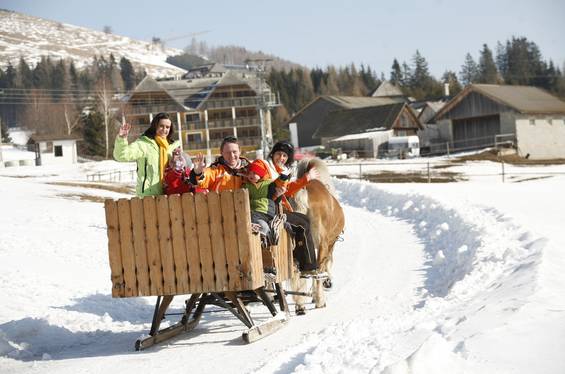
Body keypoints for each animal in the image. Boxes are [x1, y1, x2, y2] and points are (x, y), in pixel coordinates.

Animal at [290, 157, 344, 312]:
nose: (329, 283)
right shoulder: (329, 243)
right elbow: (326, 263)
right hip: (322, 243)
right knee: (317, 269)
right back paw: (320, 300)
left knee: (297, 270)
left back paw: (300, 304)